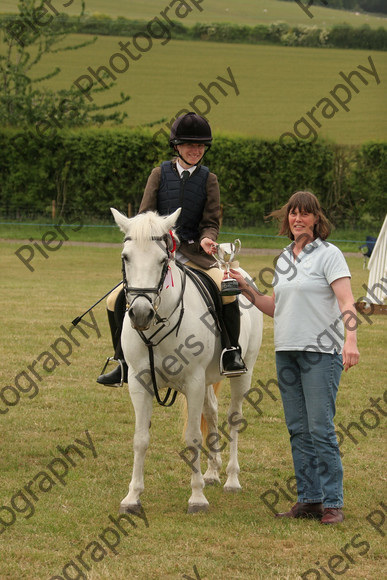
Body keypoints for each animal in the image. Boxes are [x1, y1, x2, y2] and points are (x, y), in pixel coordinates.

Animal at [111, 207, 264, 512]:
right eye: (126, 257)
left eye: (162, 260)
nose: (141, 313)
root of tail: (235, 270)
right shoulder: (139, 381)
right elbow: (140, 439)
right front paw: (132, 497)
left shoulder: (193, 381)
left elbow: (193, 437)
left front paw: (197, 497)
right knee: (212, 412)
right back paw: (212, 472)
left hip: (243, 373)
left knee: (233, 417)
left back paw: (231, 479)